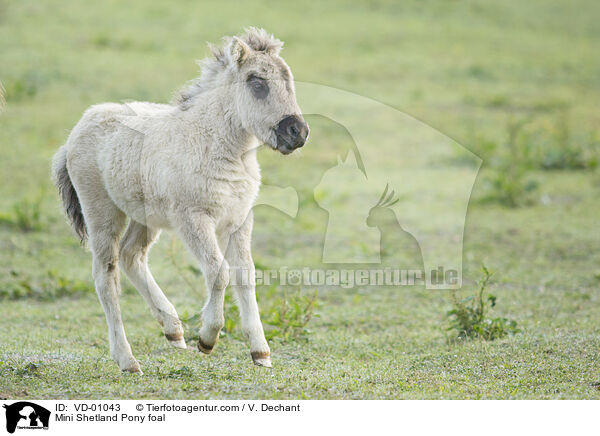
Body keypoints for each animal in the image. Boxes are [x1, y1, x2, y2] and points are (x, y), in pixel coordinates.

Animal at [51, 29, 310, 372]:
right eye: (257, 82)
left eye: (288, 79)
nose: (297, 132)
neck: (214, 143)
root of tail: (75, 132)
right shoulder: (193, 218)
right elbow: (219, 271)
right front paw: (207, 338)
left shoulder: (239, 219)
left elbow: (246, 275)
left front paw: (261, 352)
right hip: (101, 210)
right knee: (106, 274)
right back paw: (127, 359)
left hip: (145, 216)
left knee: (132, 256)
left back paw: (172, 329)